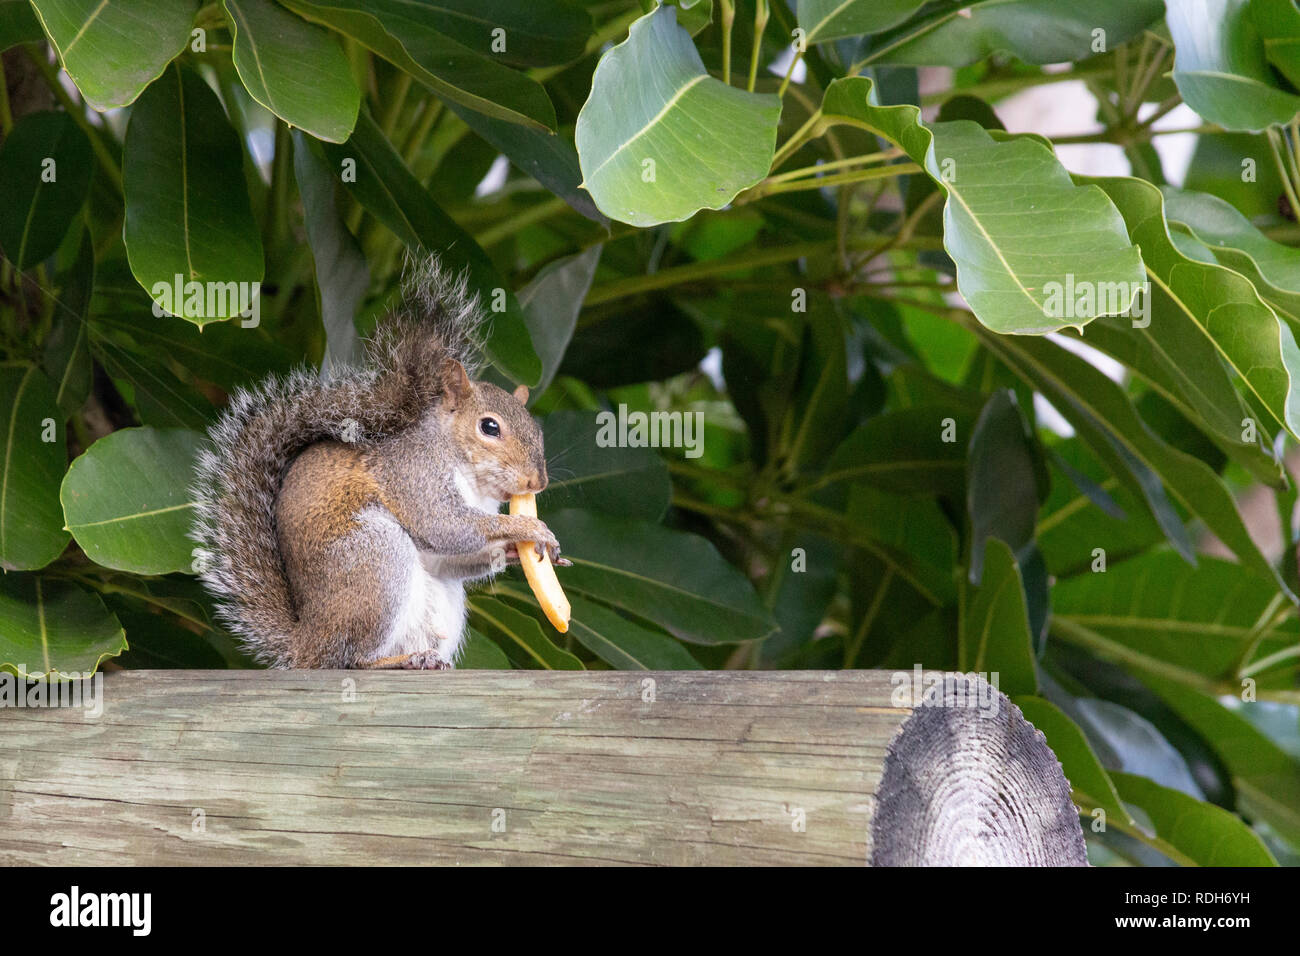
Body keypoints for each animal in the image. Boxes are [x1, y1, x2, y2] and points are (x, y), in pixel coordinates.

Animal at [189, 257, 564, 671]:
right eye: (490, 427)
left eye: (538, 431)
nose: (537, 483)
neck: (468, 474)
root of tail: (307, 643)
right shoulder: (414, 475)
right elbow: (445, 525)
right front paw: (527, 527)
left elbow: (455, 557)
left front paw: (520, 548)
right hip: (376, 560)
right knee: (353, 660)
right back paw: (403, 660)